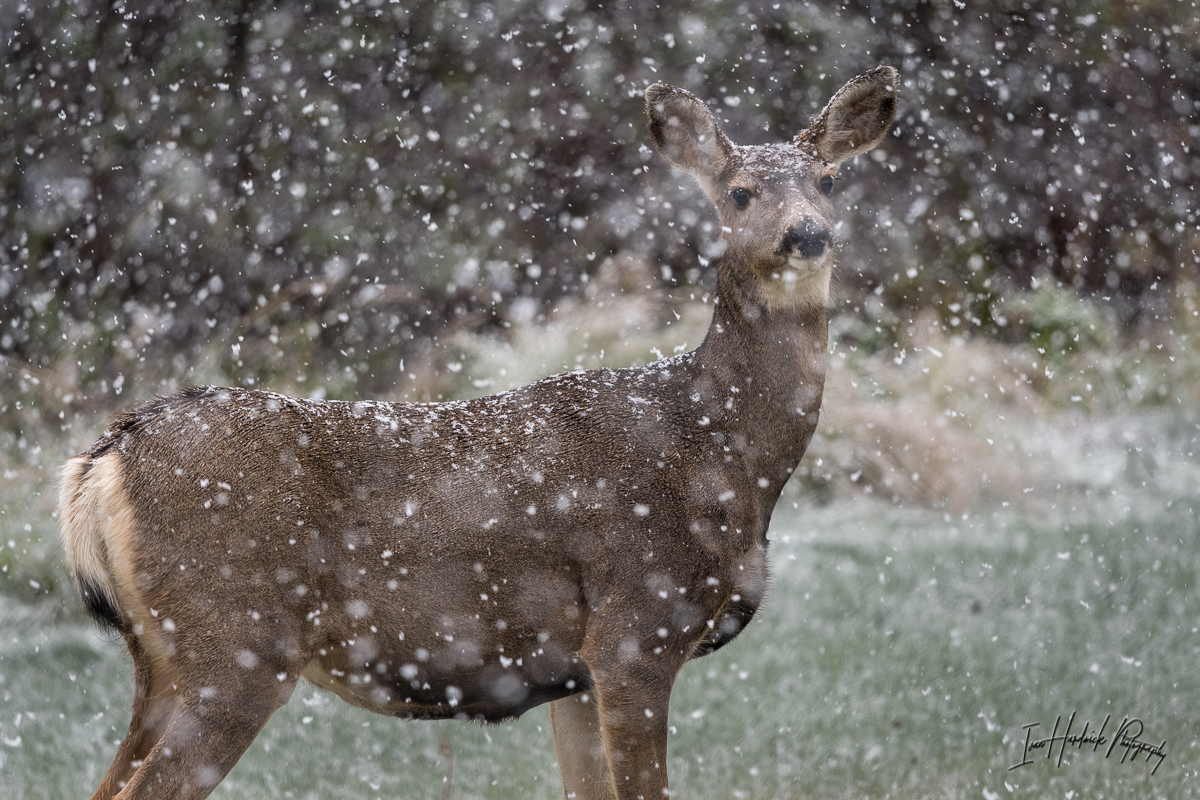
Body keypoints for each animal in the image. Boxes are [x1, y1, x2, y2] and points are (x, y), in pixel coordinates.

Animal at [58, 65, 902, 796]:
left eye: (828, 181)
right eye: (739, 192)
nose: (807, 235)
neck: (721, 451)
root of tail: (105, 456)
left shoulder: (577, 673)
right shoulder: (637, 629)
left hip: (161, 661)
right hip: (237, 643)